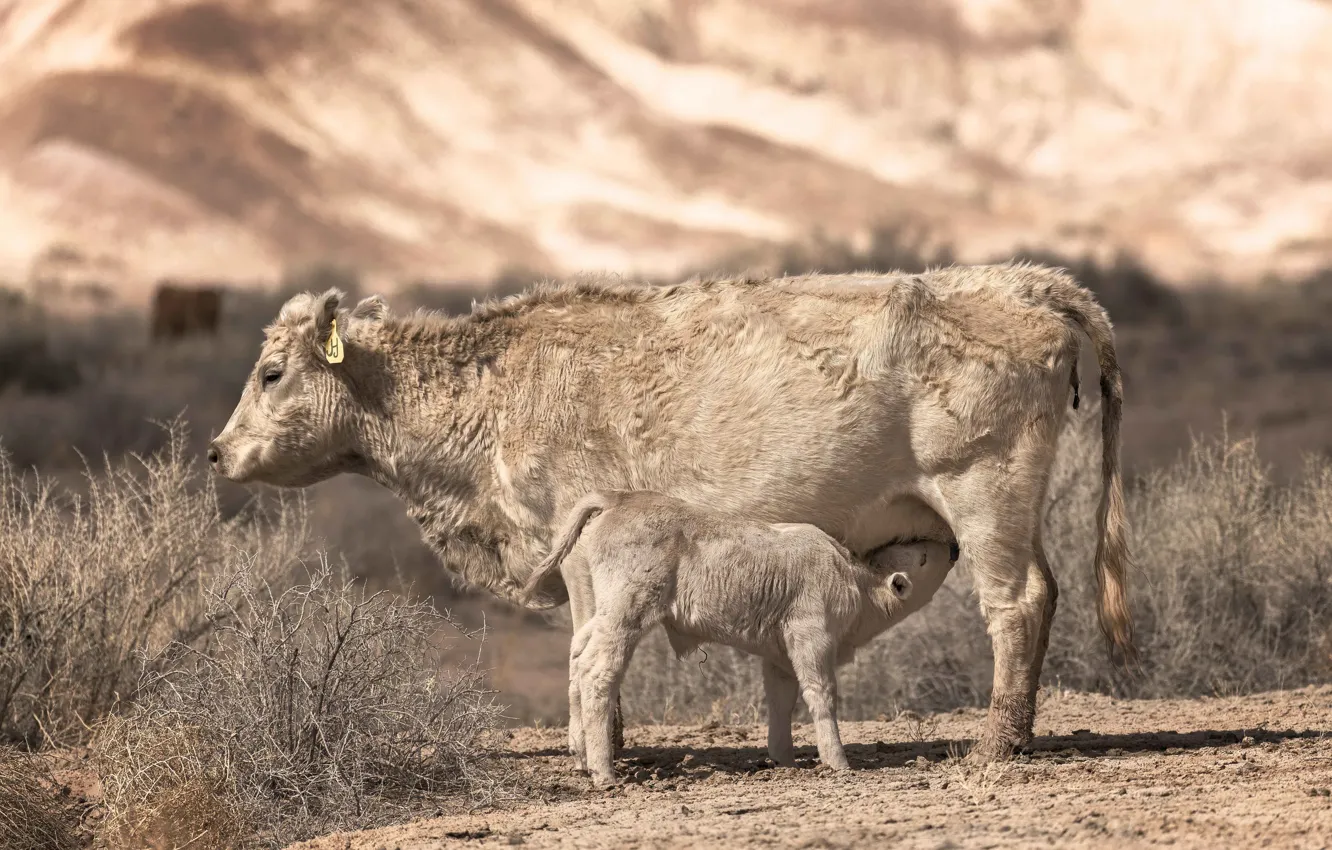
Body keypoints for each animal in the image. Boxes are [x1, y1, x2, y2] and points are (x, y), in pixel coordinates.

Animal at [519, 489, 949, 786]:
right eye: (923, 555)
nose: (953, 546)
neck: (853, 579)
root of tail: (619, 496)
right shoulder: (811, 638)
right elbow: (821, 695)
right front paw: (838, 761)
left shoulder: (779, 655)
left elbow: (782, 701)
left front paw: (784, 758)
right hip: (626, 614)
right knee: (598, 673)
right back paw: (603, 771)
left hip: (601, 613)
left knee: (578, 659)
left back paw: (580, 755)